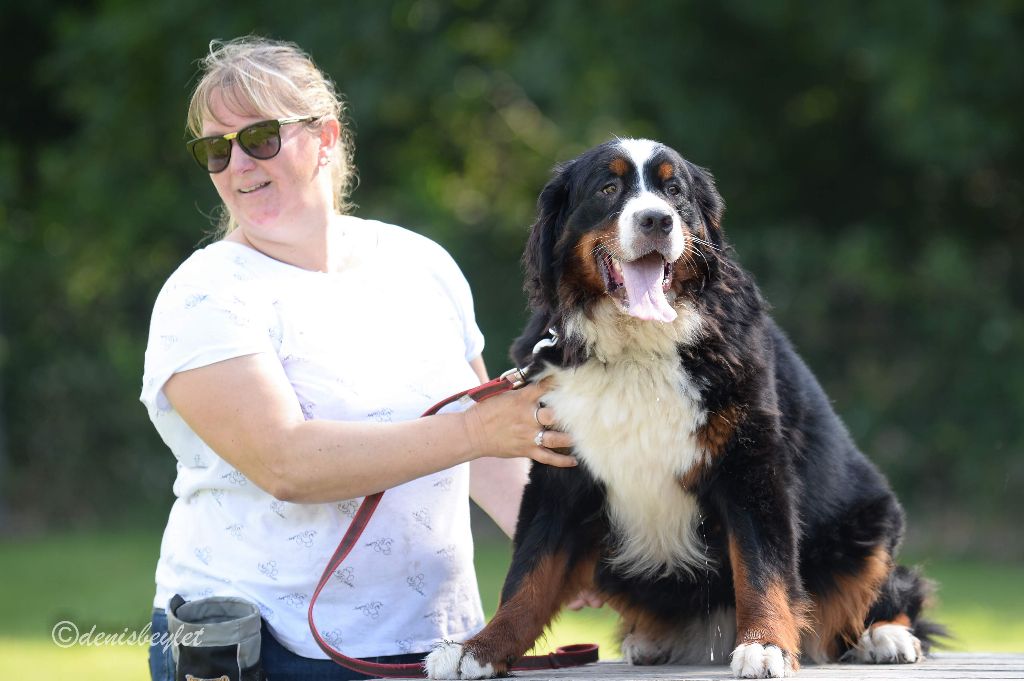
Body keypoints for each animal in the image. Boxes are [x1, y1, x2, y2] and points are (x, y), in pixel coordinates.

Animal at [425, 139, 942, 679]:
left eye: (675, 192)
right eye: (607, 188)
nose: (657, 219)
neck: (636, 348)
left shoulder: (751, 463)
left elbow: (763, 568)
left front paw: (765, 645)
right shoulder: (560, 470)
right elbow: (528, 576)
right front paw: (478, 649)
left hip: (870, 524)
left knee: (895, 590)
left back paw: (887, 637)